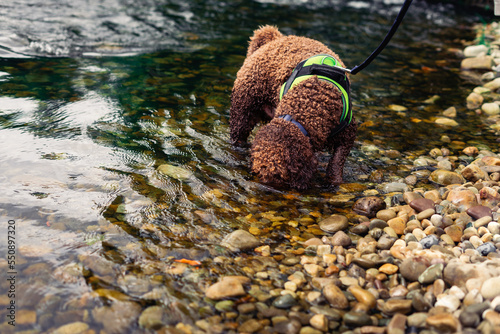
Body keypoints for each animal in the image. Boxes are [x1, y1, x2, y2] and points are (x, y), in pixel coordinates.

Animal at [229, 24, 356, 189]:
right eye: (258, 172)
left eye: (278, 176)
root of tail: (273, 40)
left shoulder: (348, 134)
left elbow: (337, 162)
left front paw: (334, 180)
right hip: (243, 111)